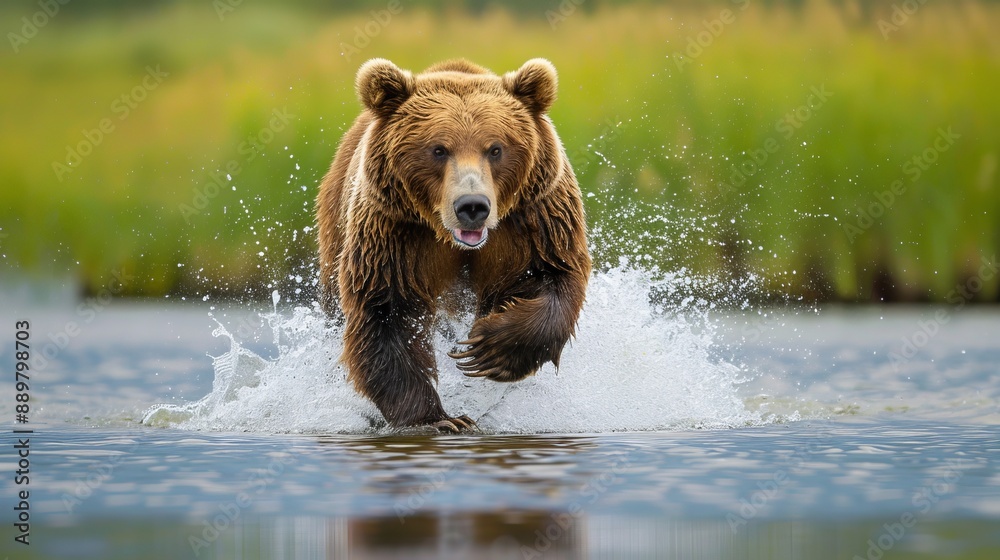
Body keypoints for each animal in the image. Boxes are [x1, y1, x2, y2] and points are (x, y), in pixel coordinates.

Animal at [316, 57, 591, 432]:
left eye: (495, 148)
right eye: (438, 149)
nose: (472, 206)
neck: (452, 239)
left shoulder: (534, 220)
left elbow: (555, 275)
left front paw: (487, 349)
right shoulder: (394, 234)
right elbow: (386, 311)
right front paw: (439, 420)